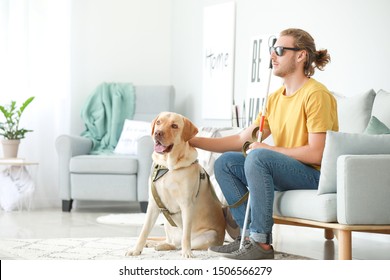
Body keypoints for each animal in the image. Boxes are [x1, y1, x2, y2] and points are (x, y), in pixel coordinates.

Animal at [125, 111, 225, 258]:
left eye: (174, 126)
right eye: (159, 122)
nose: (158, 133)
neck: (168, 168)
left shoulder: (187, 205)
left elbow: (186, 236)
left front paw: (187, 253)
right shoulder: (153, 204)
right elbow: (144, 231)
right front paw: (136, 249)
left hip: (210, 235)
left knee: (180, 244)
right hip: (168, 223)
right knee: (171, 242)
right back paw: (158, 244)